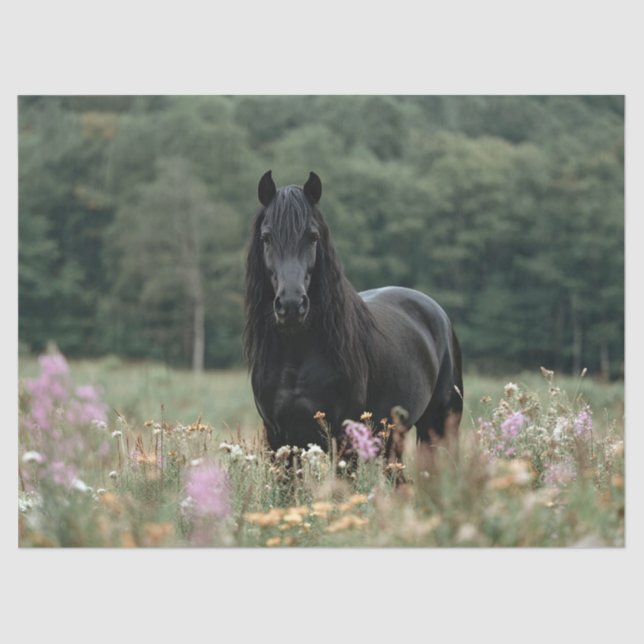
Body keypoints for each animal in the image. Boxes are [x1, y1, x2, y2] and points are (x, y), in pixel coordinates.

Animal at [244, 170, 463, 467]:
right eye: (266, 238)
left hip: (439, 427)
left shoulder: (346, 439)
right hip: (392, 438)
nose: (291, 305)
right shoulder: (280, 440)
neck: (297, 355)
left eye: (313, 236)